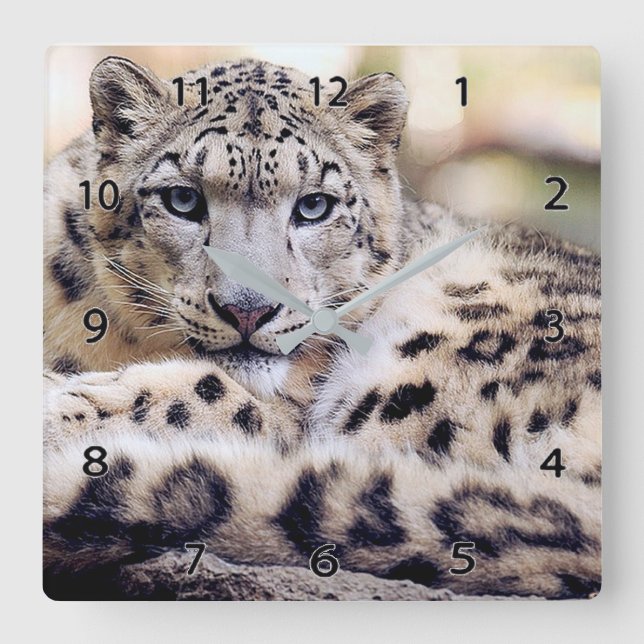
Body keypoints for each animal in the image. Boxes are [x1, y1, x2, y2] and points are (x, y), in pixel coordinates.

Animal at [43, 56, 602, 600]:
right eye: (182, 199)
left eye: (314, 206)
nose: (248, 310)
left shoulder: (290, 410)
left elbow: (210, 397)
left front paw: (62, 405)